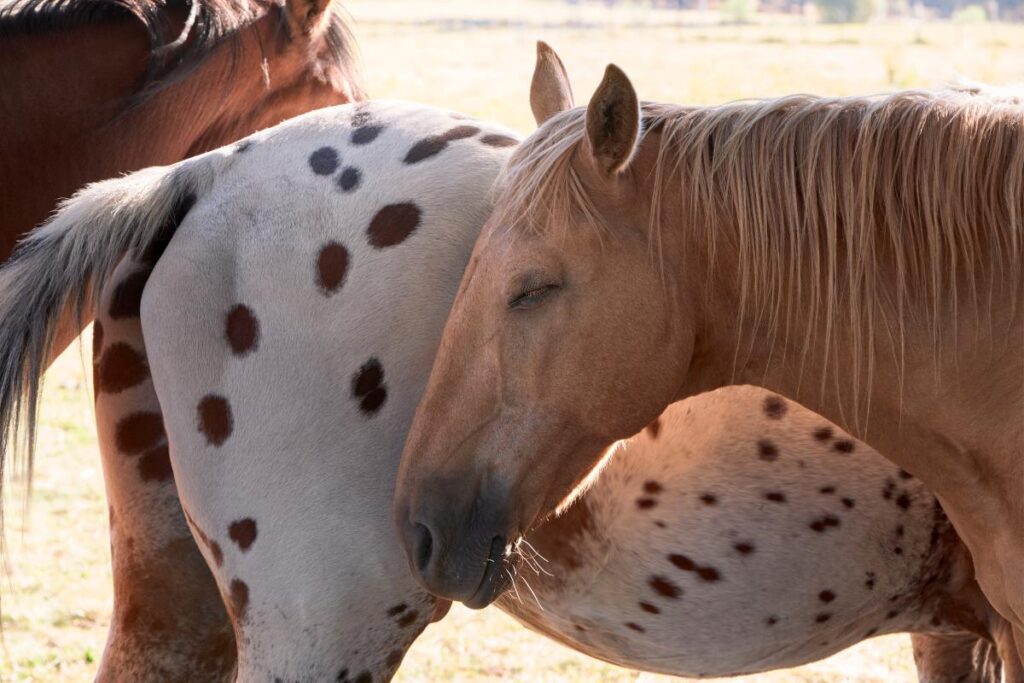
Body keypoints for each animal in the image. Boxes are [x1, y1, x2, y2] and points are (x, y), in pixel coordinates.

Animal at [0, 98, 1011, 679]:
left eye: (529, 288)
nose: (430, 518)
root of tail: (207, 169)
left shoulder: (961, 626)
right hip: (320, 628)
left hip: (175, 594)